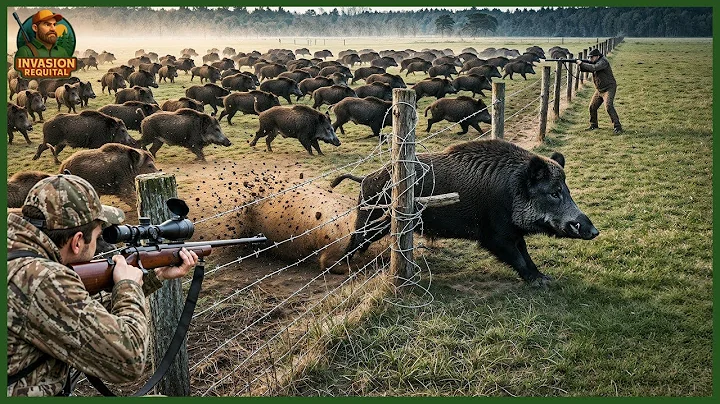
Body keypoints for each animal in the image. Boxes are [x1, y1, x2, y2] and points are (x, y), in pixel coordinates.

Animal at [332, 138, 599, 284]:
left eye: (567, 190)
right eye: (554, 192)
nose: (595, 231)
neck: (512, 191)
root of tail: (365, 178)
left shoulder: (512, 232)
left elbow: (525, 253)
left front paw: (545, 278)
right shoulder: (494, 234)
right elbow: (516, 257)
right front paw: (538, 282)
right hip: (372, 219)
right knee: (356, 238)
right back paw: (340, 268)